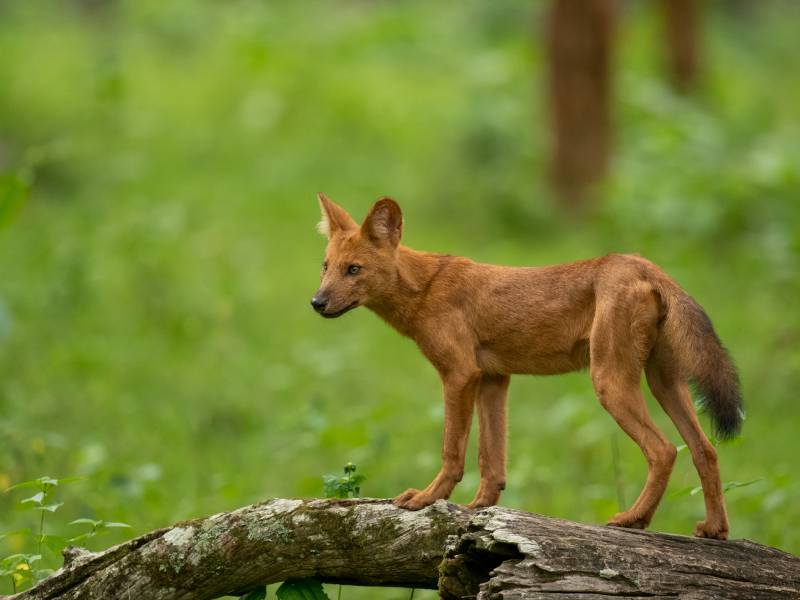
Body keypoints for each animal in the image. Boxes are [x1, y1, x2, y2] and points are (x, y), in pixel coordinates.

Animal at [310, 193, 744, 540]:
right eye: (326, 266)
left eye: (354, 269)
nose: (316, 303)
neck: (424, 288)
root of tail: (643, 264)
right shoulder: (493, 379)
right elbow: (492, 459)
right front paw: (478, 509)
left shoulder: (459, 375)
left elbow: (453, 450)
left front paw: (427, 499)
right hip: (664, 382)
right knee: (705, 450)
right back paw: (715, 530)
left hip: (610, 382)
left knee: (664, 449)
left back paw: (633, 519)